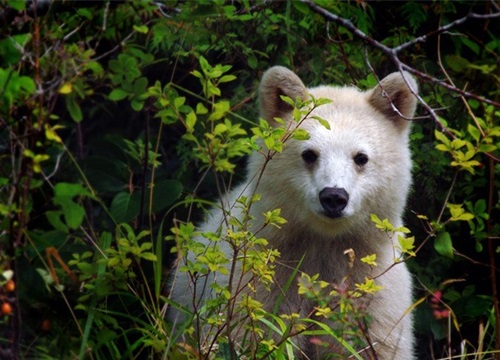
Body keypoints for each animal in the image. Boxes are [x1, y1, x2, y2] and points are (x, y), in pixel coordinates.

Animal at [168, 65, 418, 360]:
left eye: (361, 157)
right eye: (309, 154)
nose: (334, 197)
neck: (322, 242)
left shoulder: (370, 288)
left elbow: (371, 343)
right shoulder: (261, 279)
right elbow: (251, 333)